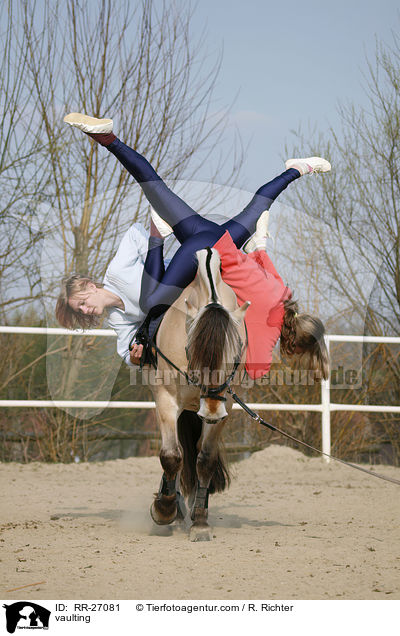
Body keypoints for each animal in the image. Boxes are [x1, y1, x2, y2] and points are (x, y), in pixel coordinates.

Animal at [150, 246, 250, 540]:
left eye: (235, 357)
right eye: (191, 352)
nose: (212, 412)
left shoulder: (226, 408)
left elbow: (204, 460)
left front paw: (201, 522)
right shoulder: (166, 400)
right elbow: (171, 456)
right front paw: (164, 509)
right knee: (177, 452)